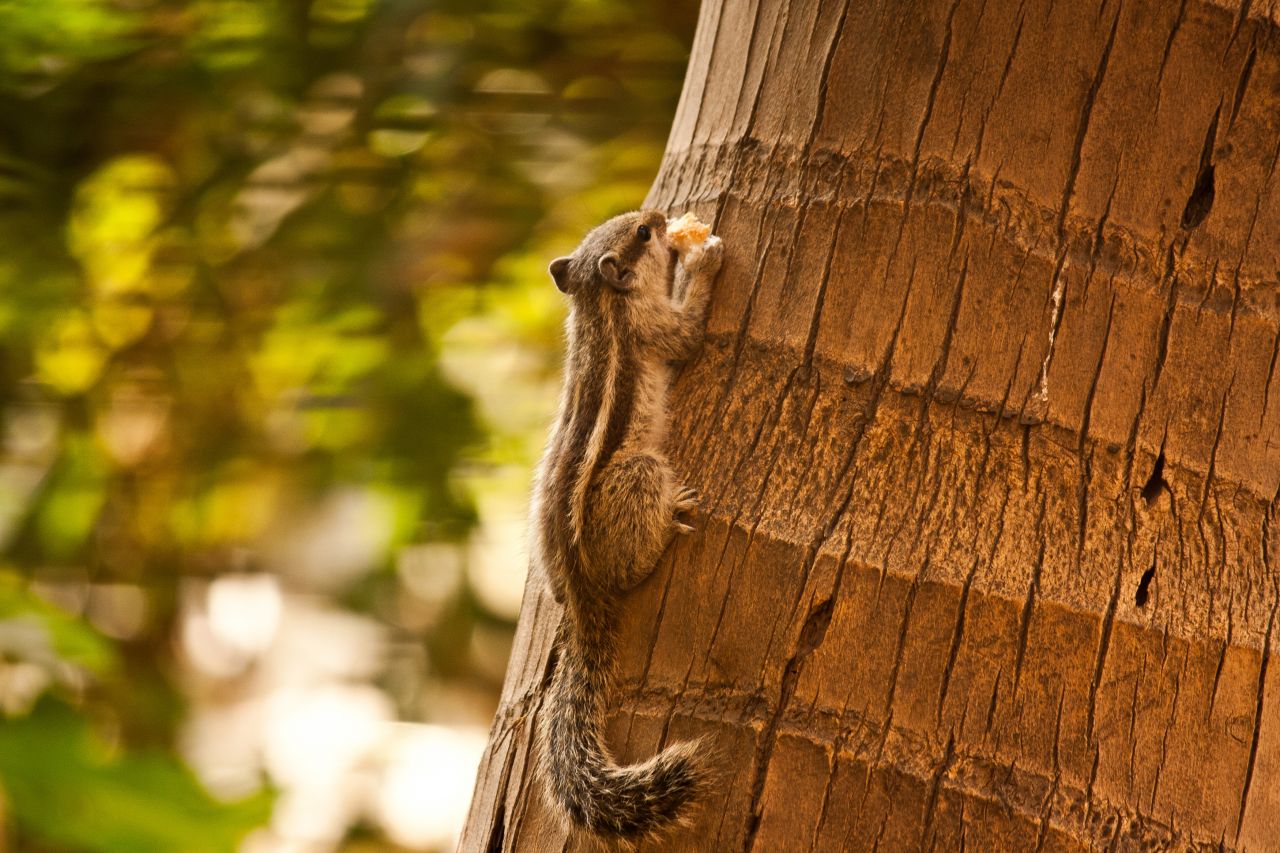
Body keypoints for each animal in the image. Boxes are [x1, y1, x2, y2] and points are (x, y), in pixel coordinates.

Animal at [529, 208, 727, 840]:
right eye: (642, 234)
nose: (661, 215)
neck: (600, 306)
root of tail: (582, 594)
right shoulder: (654, 326)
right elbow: (688, 333)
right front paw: (702, 259)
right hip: (639, 471)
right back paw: (671, 521)